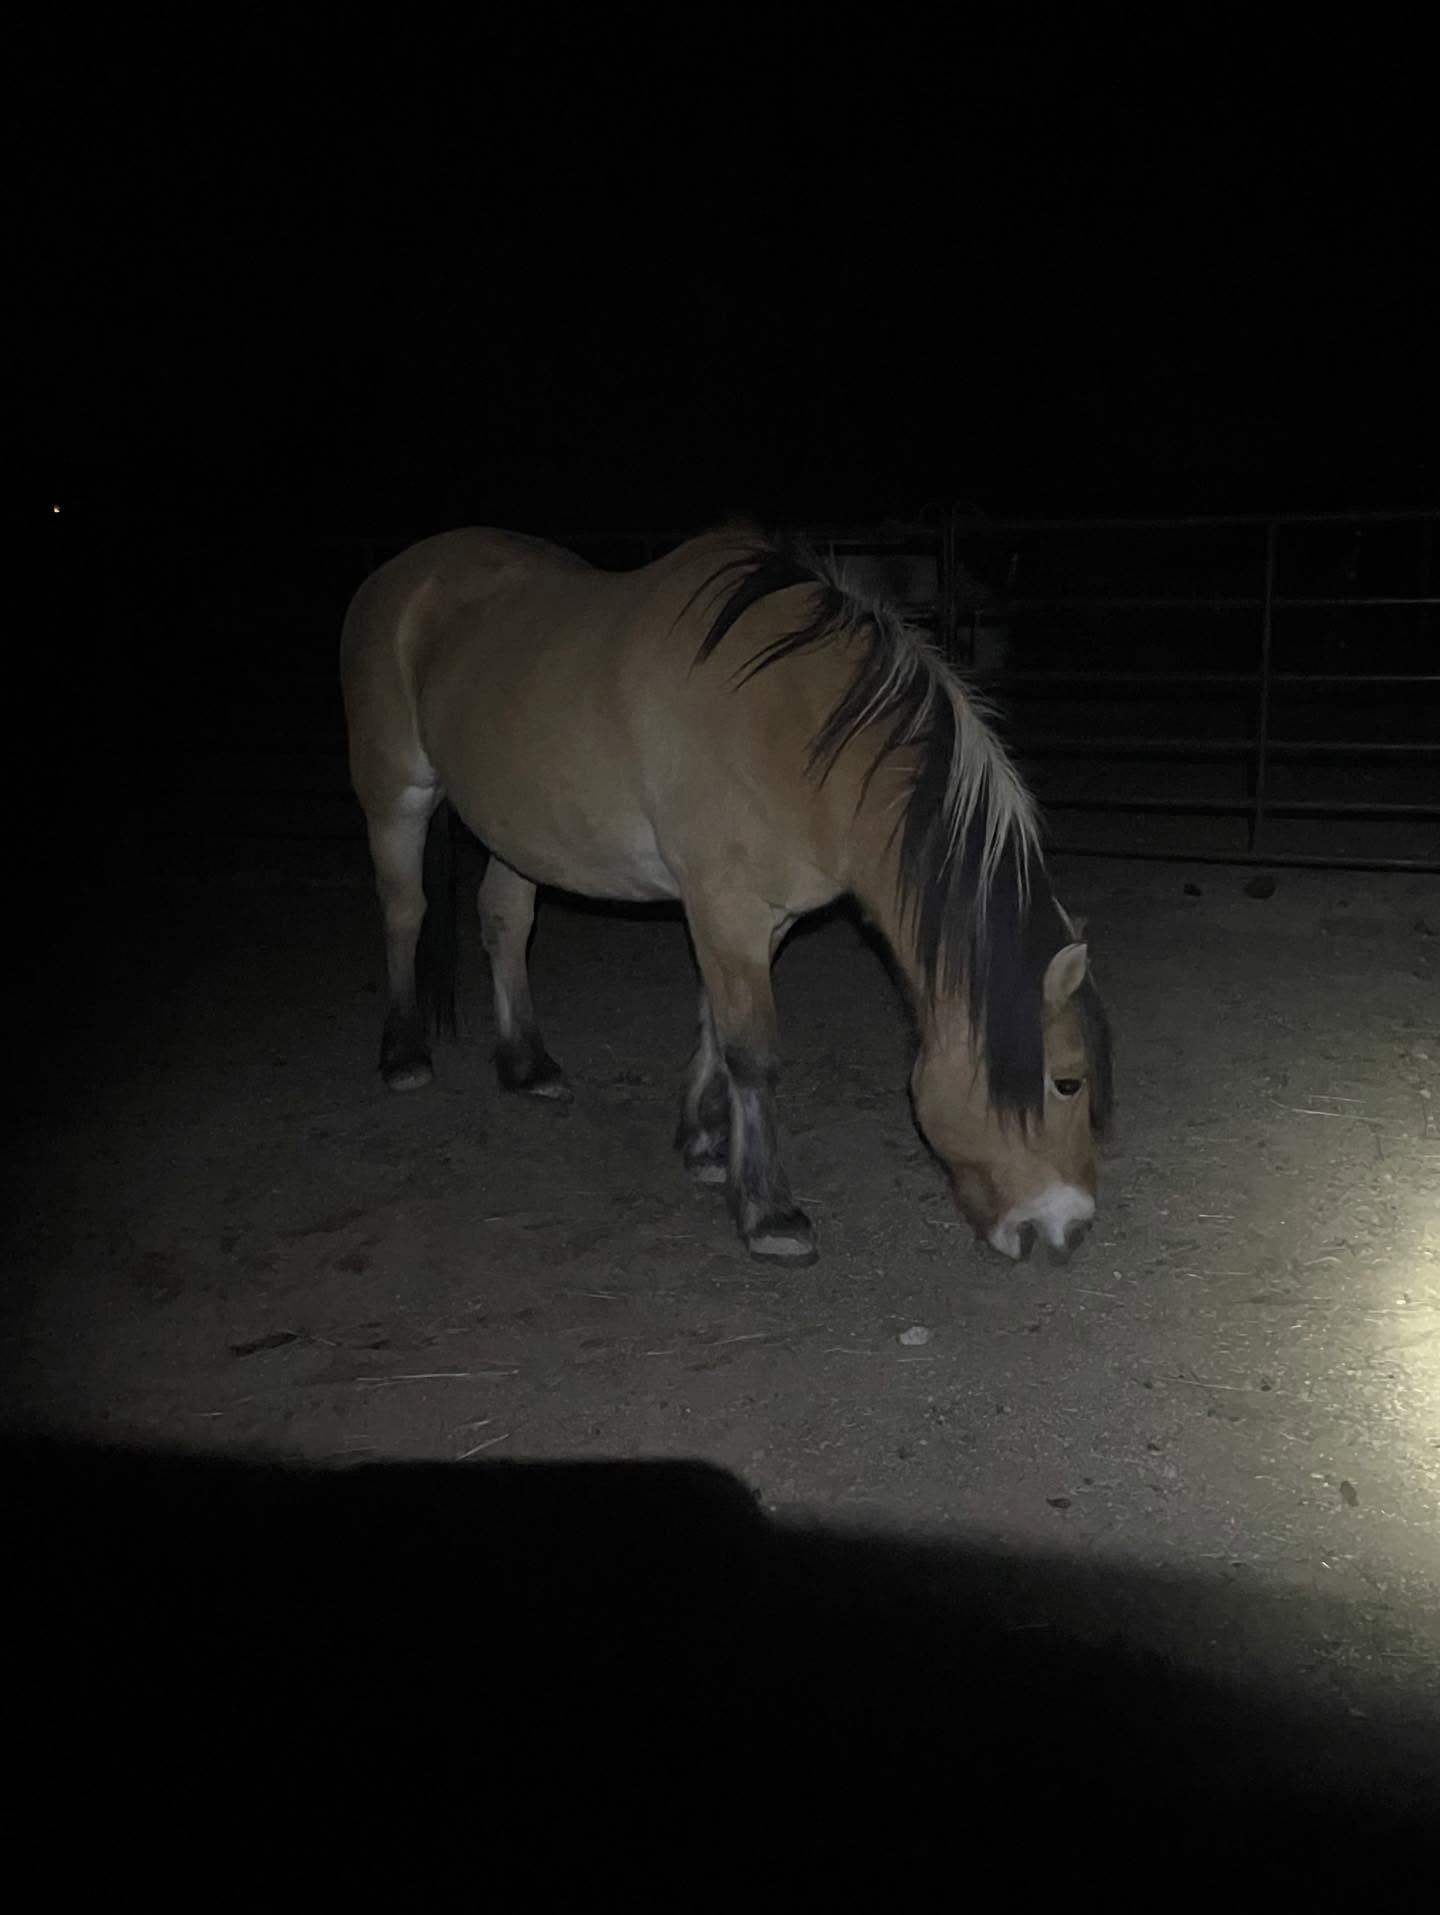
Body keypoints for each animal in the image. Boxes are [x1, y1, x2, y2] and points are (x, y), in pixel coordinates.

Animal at [340, 526, 1112, 1267]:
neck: (792, 724)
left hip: (517, 829)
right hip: (397, 795)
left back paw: (527, 1066)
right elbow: (752, 1050)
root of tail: (400, 575)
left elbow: (714, 1023)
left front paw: (707, 1147)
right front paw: (770, 1214)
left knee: (504, 918)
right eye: (1068, 1081)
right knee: (404, 911)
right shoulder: (724, 906)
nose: (1072, 1229)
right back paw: (404, 1055)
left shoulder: (761, 917)